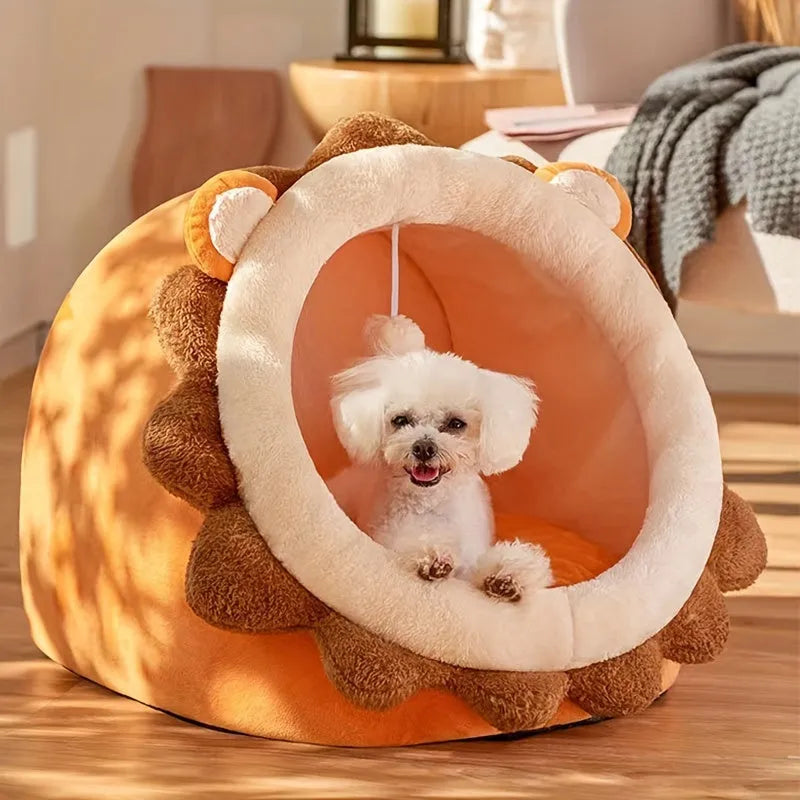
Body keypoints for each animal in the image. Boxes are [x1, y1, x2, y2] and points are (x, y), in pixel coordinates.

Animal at [328, 316, 552, 604]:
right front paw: (433, 555)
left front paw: (507, 574)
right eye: (401, 420)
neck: (432, 504)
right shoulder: (390, 534)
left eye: (456, 423)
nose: (424, 447)